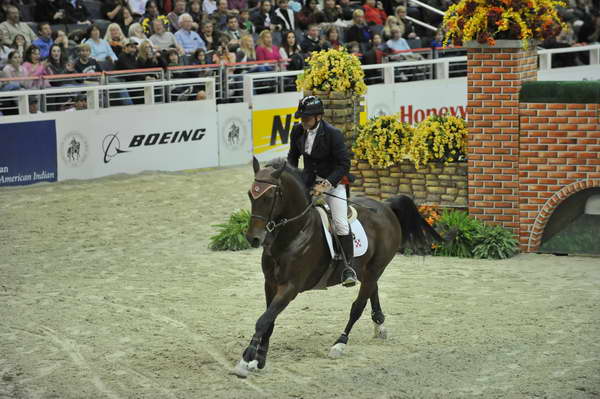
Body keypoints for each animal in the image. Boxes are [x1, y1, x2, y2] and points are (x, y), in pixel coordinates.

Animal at [234, 157, 440, 378]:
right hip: (366, 269)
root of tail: (385, 206)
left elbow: (263, 320)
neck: (294, 233)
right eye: (250, 195)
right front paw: (259, 358)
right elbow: (269, 321)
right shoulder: (270, 283)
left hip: (376, 267)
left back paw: (340, 344)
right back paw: (379, 325)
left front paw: (246, 359)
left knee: (358, 306)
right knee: (372, 290)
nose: (253, 238)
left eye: (269, 196)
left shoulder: (290, 288)